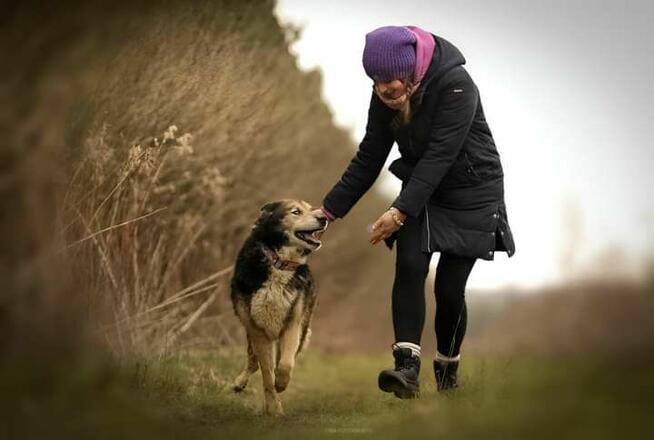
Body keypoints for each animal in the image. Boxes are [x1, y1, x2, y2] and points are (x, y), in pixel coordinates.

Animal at [232, 198, 330, 414]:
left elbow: (285, 364)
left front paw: (281, 384)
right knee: (253, 361)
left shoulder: (292, 325)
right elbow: (267, 375)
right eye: (296, 212)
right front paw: (274, 409)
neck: (280, 263)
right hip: (251, 331)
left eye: (311, 209)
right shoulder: (258, 330)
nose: (324, 217)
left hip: (302, 330)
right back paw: (240, 383)